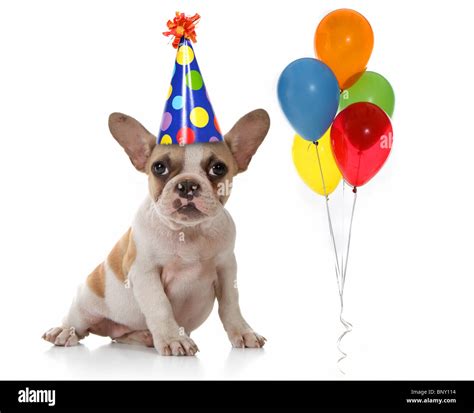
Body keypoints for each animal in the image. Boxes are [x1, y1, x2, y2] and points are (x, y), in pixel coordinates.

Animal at [42, 108, 270, 354]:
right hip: (86, 300)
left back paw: (145, 337)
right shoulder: (145, 272)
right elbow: (160, 306)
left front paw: (243, 332)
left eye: (218, 168)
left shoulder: (226, 269)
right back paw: (63, 331)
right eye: (159, 167)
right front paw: (173, 339)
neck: (189, 232)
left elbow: (230, 303)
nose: (187, 184)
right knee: (77, 321)